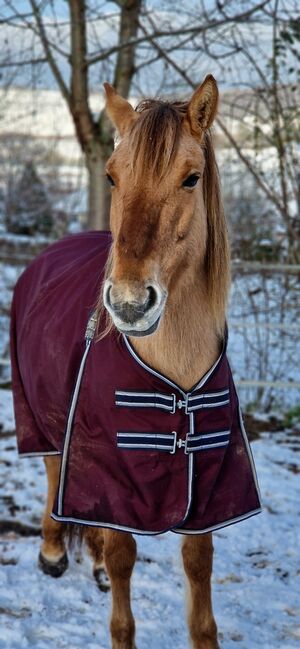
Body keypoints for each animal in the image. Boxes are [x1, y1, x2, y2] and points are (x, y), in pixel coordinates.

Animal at [11, 77, 260, 648]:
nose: (128, 303)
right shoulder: (108, 470)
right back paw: (53, 551)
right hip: (41, 418)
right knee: (54, 472)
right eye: (112, 176)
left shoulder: (206, 488)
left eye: (191, 178)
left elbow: (199, 579)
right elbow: (124, 564)